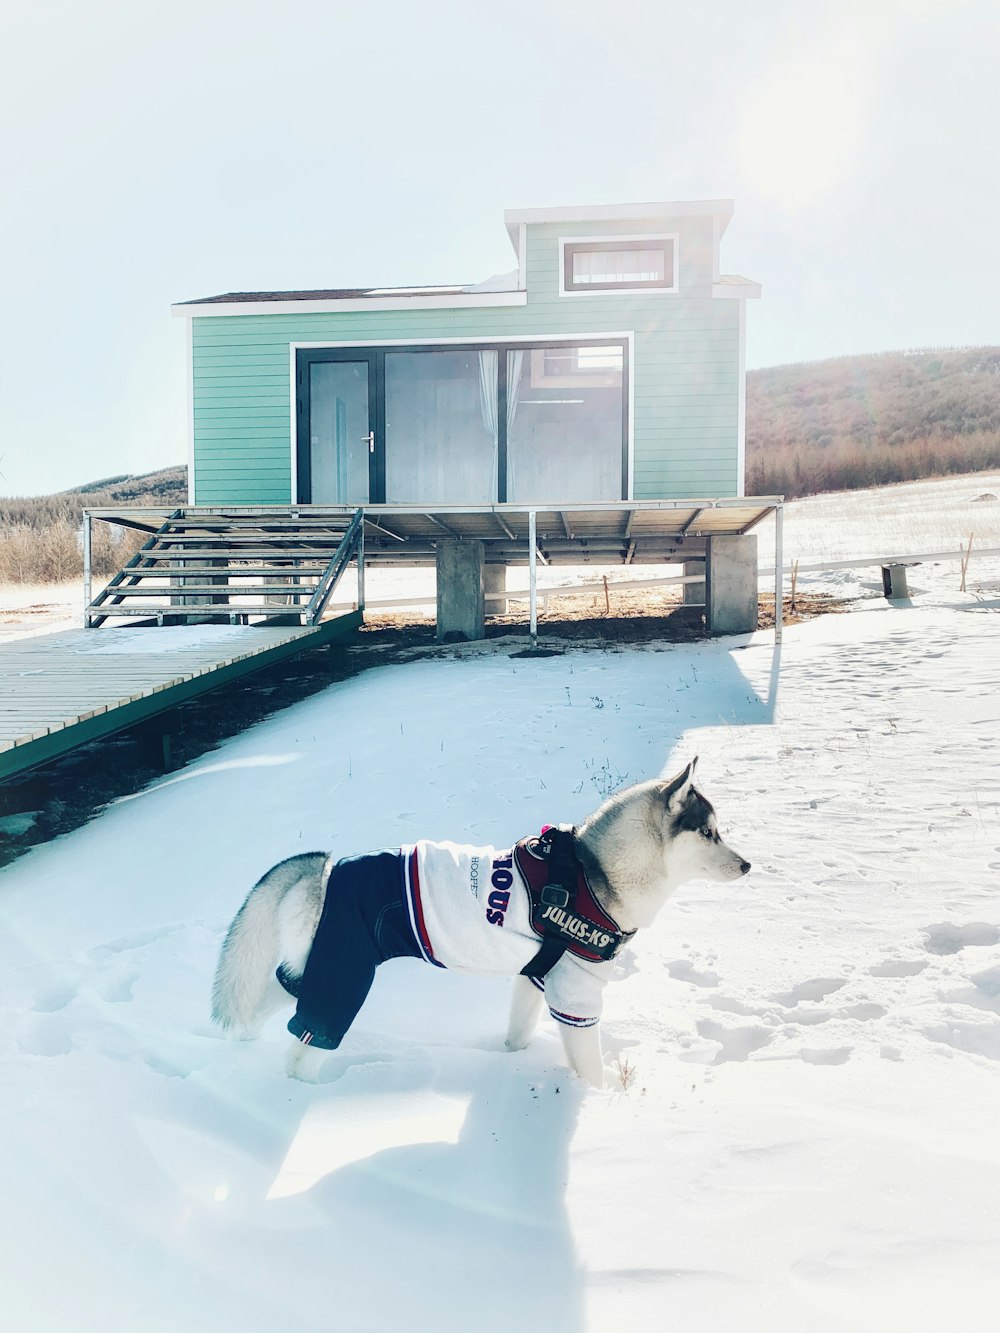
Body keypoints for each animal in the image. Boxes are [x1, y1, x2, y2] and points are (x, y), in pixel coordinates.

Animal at [213, 762, 752, 1082]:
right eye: (709, 833)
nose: (748, 866)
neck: (597, 873)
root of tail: (328, 868)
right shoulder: (577, 997)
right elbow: (591, 1071)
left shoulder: (535, 978)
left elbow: (518, 1033)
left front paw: (509, 1061)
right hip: (345, 977)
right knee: (305, 1045)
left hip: (315, 967)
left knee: (273, 999)